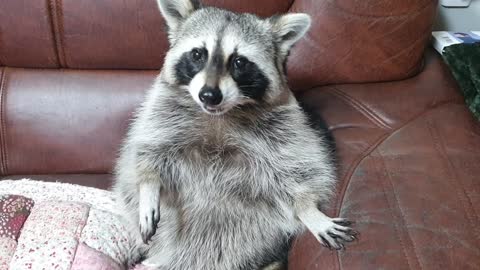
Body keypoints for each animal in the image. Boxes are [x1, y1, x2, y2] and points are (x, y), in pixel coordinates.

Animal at [113, 1, 356, 268]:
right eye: (198, 54)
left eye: (240, 62)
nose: (209, 95)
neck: (218, 114)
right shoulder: (161, 116)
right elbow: (147, 152)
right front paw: (148, 186)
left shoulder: (285, 131)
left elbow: (298, 171)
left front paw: (308, 210)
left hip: (251, 238)